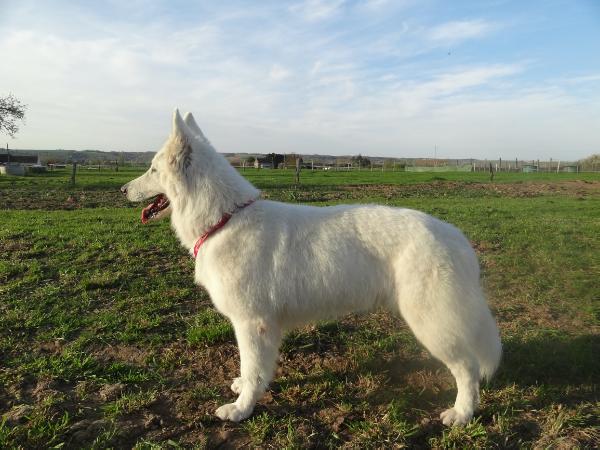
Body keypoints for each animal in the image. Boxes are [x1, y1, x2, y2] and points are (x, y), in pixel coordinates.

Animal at [122, 109, 502, 426]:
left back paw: (462, 414)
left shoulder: (252, 323)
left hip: (432, 323)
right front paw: (243, 388)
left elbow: (253, 367)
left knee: (467, 368)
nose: (123, 188)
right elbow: (255, 370)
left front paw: (242, 409)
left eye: (152, 169)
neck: (225, 218)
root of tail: (455, 237)